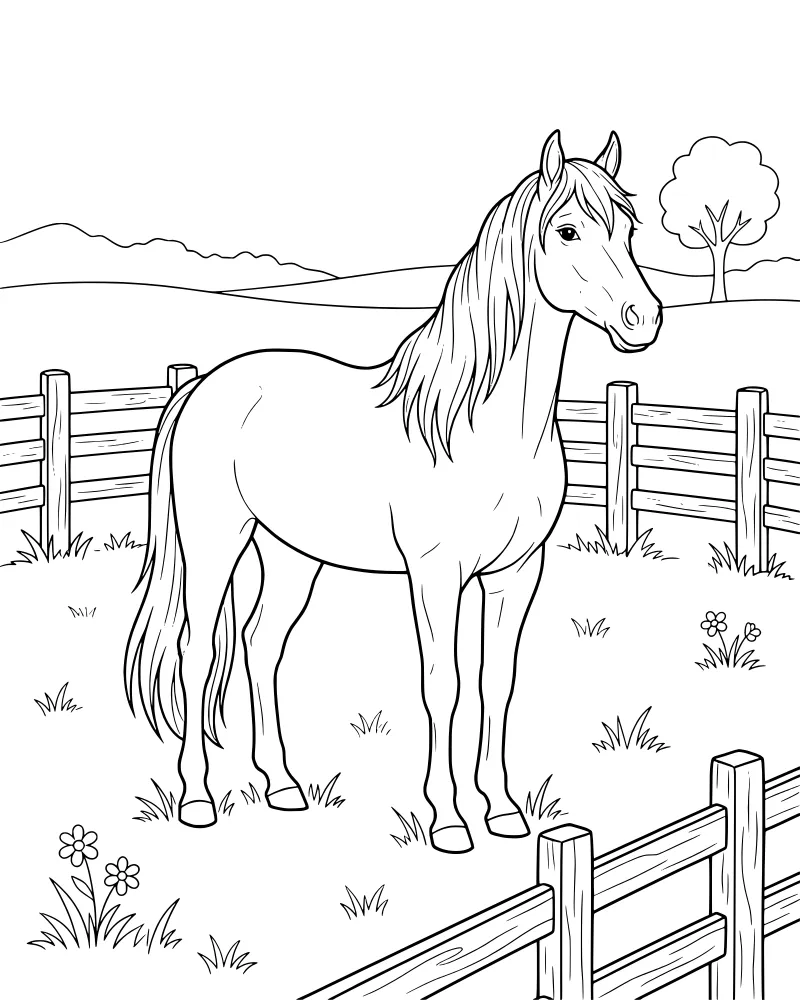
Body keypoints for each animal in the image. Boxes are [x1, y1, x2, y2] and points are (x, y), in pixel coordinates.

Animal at [125, 130, 661, 854]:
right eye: (568, 230)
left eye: (630, 230)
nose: (644, 319)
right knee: (198, 651)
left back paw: (282, 786)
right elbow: (444, 685)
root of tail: (204, 384)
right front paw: (449, 820)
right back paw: (199, 799)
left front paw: (502, 811)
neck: (482, 425)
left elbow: (497, 683)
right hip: (215, 545)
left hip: (291, 556)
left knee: (260, 647)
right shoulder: (435, 574)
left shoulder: (517, 572)